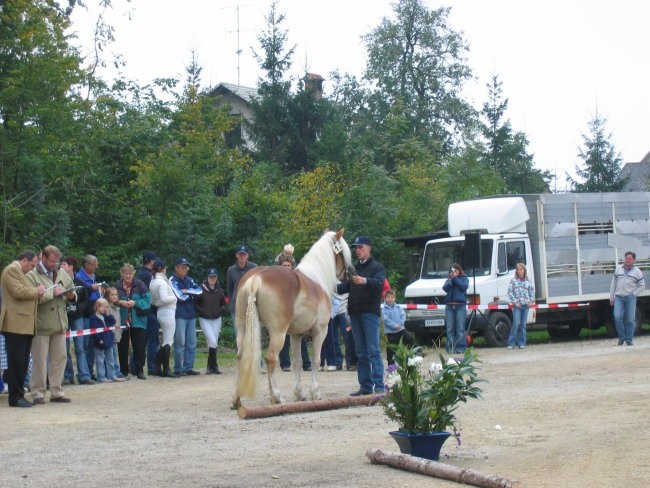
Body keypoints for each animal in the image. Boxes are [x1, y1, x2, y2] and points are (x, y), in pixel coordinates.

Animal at [229, 229, 350, 408]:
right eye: (342, 252)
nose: (350, 273)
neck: (317, 279)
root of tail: (256, 278)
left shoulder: (296, 335)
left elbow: (298, 362)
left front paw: (299, 394)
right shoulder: (320, 331)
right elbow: (316, 360)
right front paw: (315, 393)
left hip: (243, 328)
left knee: (240, 356)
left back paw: (236, 399)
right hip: (278, 334)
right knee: (271, 359)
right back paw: (276, 397)